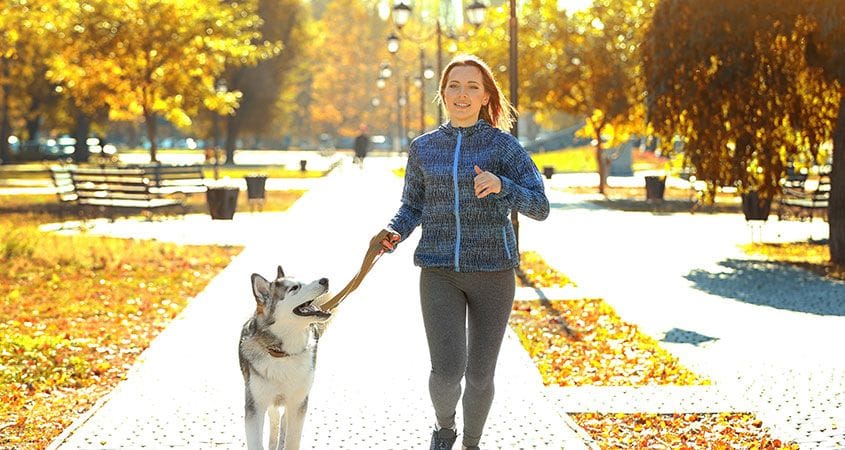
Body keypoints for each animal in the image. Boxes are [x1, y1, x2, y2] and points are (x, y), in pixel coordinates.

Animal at [239, 266, 332, 448]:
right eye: (295, 288)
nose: (325, 280)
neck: (282, 354)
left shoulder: (298, 402)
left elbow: (292, 440)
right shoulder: (255, 406)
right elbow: (256, 441)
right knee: (275, 416)